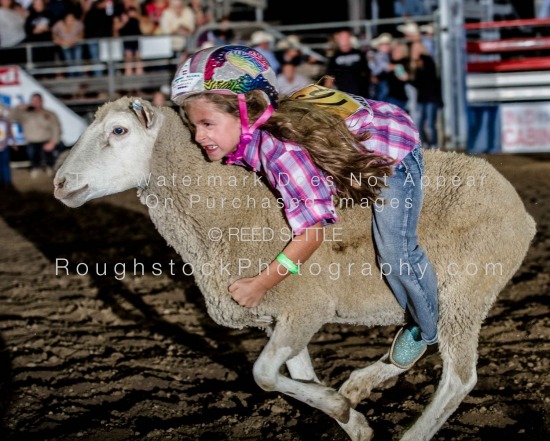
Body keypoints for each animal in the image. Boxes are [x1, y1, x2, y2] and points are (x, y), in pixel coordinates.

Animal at [54, 97, 536, 440]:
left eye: (119, 130)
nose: (59, 183)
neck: (226, 209)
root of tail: (521, 210)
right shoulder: (281, 319)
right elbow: (297, 374)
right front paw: (352, 420)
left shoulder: (306, 308)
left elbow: (264, 375)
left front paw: (341, 408)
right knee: (421, 337)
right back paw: (364, 381)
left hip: (466, 296)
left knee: (458, 379)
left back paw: (408, 429)